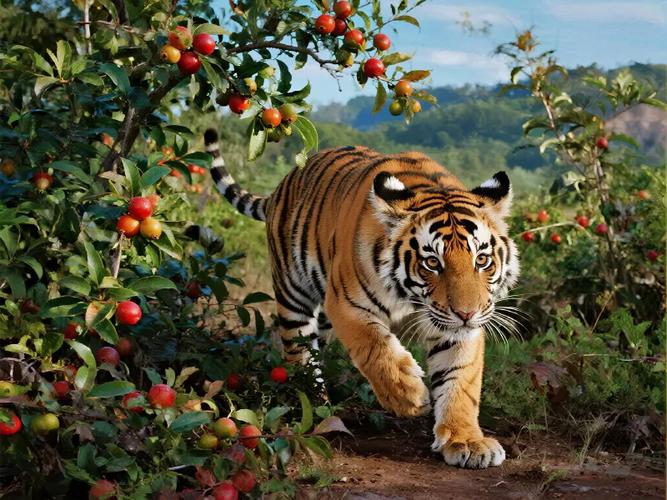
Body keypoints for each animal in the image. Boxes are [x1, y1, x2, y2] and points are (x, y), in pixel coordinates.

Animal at [204, 128, 520, 469]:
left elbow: (460, 380)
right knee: (299, 352)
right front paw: (408, 395)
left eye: (482, 260)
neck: (411, 297)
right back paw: (314, 407)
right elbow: (374, 346)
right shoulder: (347, 303)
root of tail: (283, 184)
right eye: (432, 262)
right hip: (293, 293)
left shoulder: (455, 327)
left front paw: (467, 442)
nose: (466, 313)